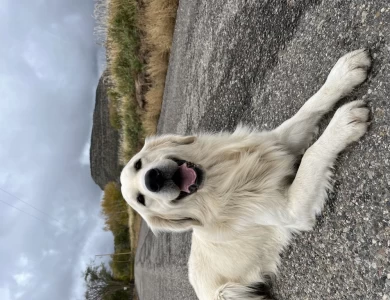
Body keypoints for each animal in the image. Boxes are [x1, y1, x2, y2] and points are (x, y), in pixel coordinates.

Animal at [121, 49, 372, 300]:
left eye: (138, 164)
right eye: (142, 200)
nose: (152, 179)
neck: (221, 183)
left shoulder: (279, 142)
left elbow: (308, 107)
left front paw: (344, 73)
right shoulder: (290, 209)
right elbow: (311, 155)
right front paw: (344, 123)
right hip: (228, 293)